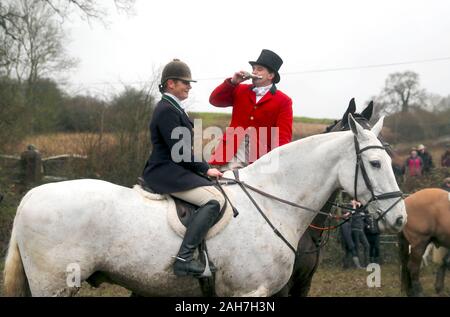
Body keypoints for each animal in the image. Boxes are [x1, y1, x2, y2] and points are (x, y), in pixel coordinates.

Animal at [3, 115, 406, 296]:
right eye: (375, 164)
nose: (400, 218)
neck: (272, 202)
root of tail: (31, 197)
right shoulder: (250, 292)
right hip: (53, 285)